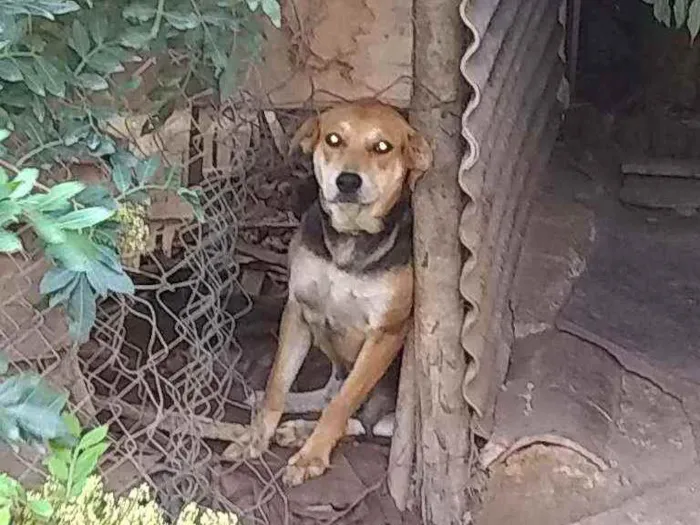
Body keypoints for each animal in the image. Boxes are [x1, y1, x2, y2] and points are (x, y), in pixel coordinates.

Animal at [224, 100, 432, 486]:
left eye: (382, 147)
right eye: (334, 139)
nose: (347, 181)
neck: (347, 242)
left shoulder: (386, 333)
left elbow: (342, 406)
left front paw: (312, 457)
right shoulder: (298, 309)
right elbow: (277, 384)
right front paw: (256, 435)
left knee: (364, 420)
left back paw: (303, 433)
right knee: (329, 392)